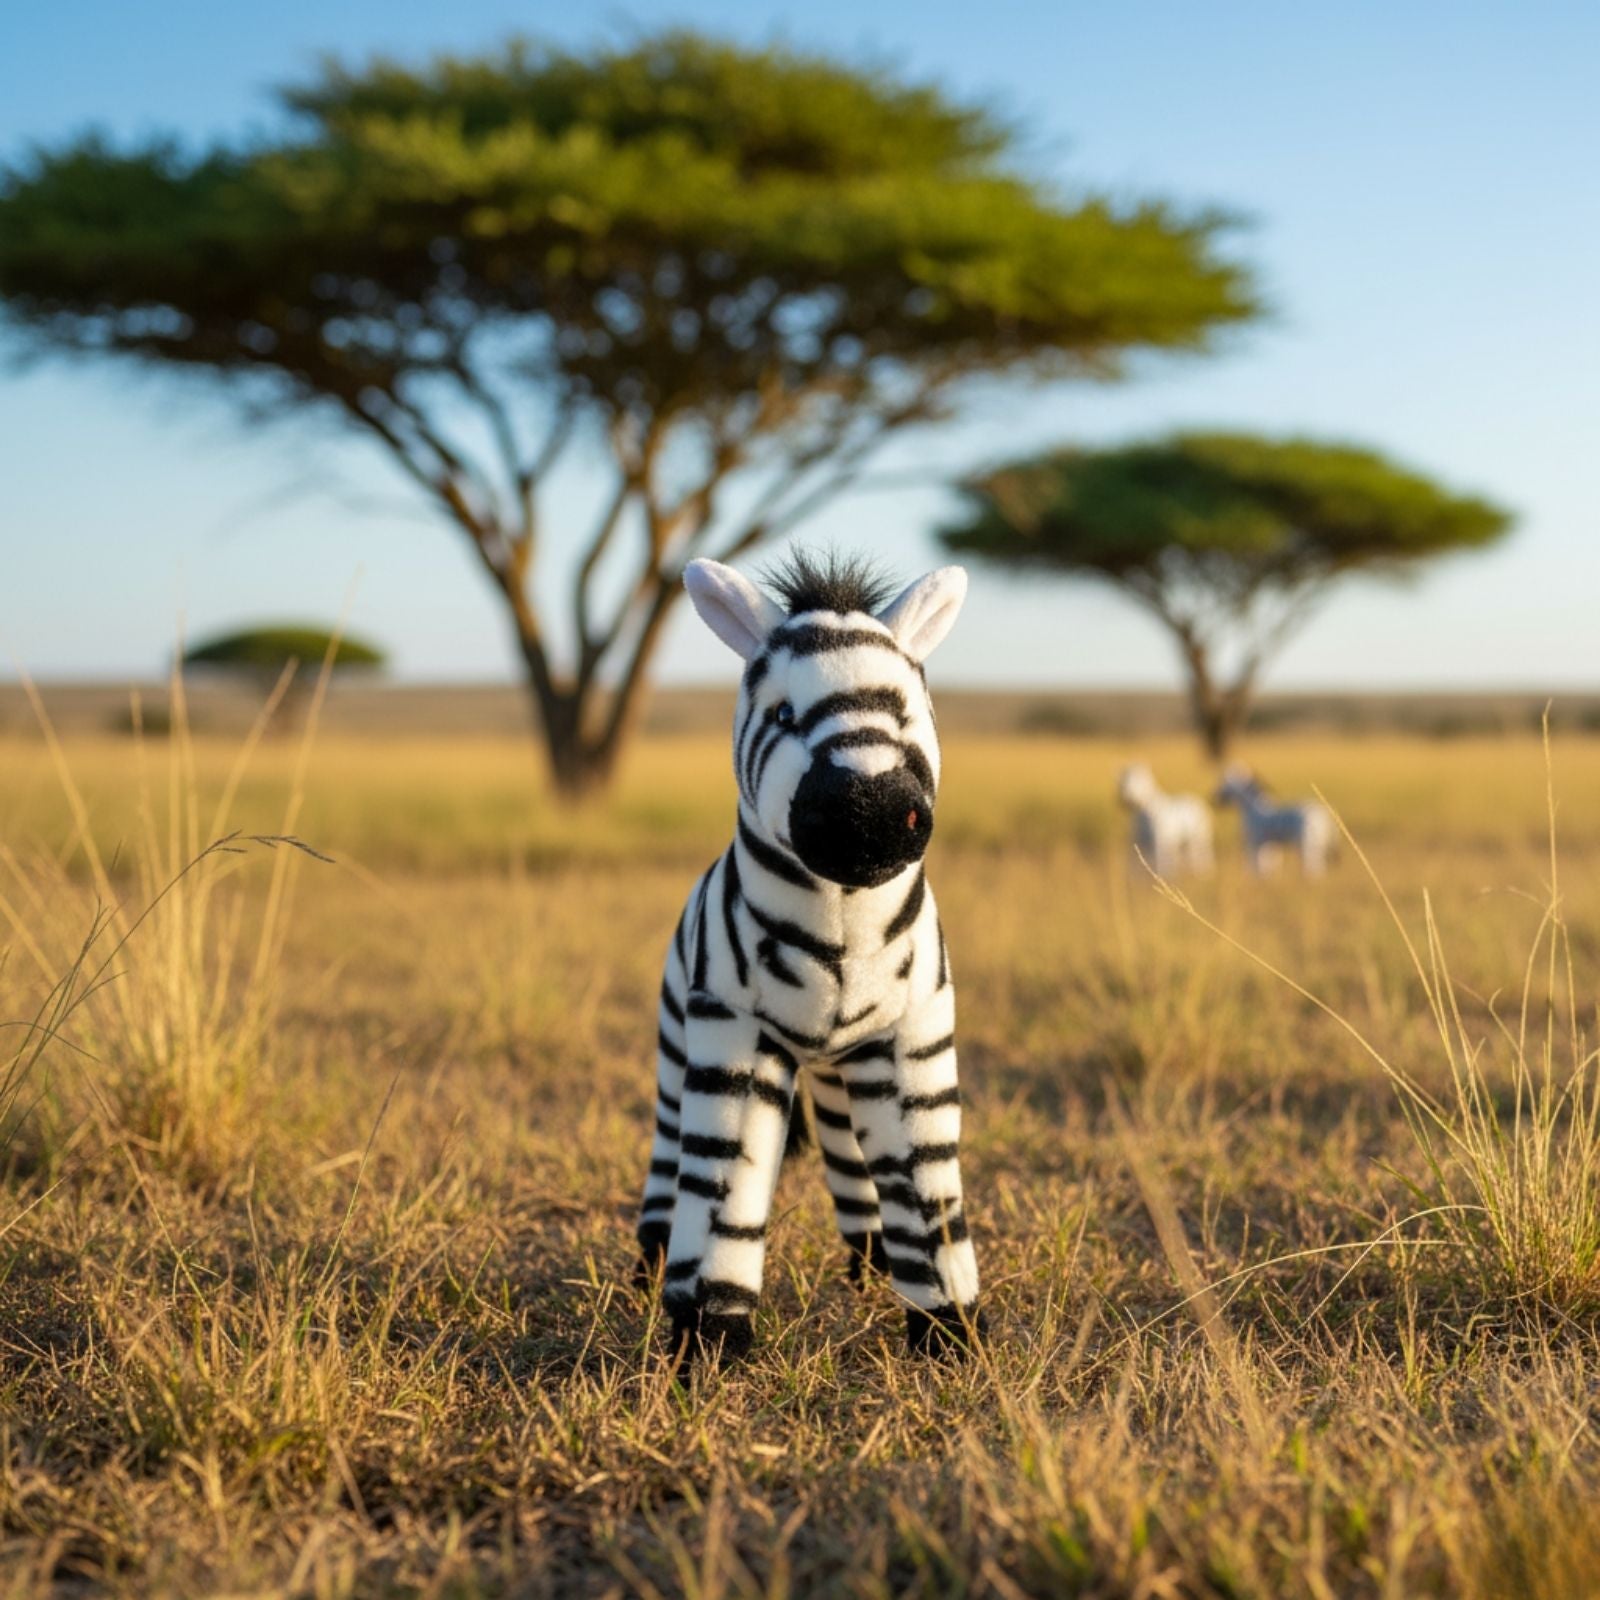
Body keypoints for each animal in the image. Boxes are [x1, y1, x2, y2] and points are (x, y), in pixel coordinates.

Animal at [635, 551, 982, 1365]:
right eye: (785, 716)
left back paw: (869, 1267)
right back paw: (649, 1264)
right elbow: (725, 1184)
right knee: (669, 1153)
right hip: (676, 1042)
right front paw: (706, 1346)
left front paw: (949, 1333)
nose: (873, 813)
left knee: (855, 1165)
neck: (843, 926)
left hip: (842, 1071)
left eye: (905, 714)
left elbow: (923, 1185)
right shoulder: (732, 1032)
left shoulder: (915, 1033)